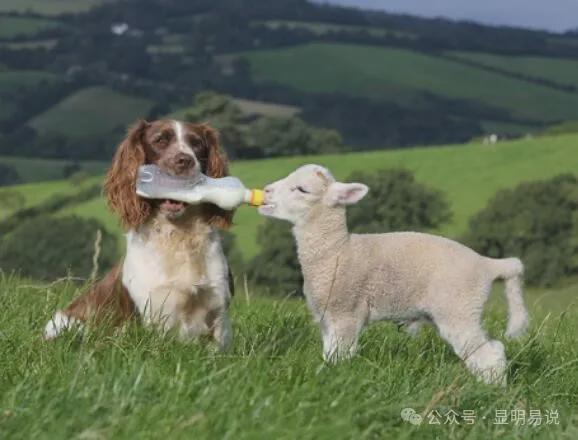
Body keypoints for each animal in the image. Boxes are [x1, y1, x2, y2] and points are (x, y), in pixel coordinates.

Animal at [43, 120, 234, 350]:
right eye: (160, 140)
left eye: (196, 143)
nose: (184, 161)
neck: (178, 234)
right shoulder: (153, 314)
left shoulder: (218, 308)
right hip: (67, 324)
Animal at [258, 163, 528, 384]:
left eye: (302, 189)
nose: (266, 191)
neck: (337, 251)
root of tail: (488, 265)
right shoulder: (327, 316)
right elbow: (329, 352)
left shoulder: (346, 311)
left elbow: (340, 355)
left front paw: (336, 378)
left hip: (459, 307)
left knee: (490, 353)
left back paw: (492, 391)